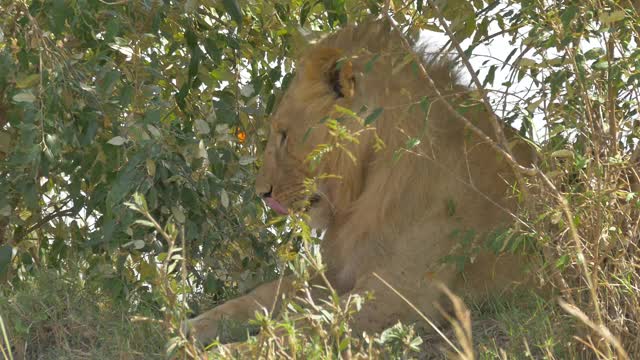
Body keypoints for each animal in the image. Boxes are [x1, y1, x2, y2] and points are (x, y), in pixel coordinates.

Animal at [186, 18, 536, 344]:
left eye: (284, 135)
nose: (261, 192)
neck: (368, 183)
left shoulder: (403, 297)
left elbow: (303, 327)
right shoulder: (338, 272)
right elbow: (260, 297)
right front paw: (188, 329)